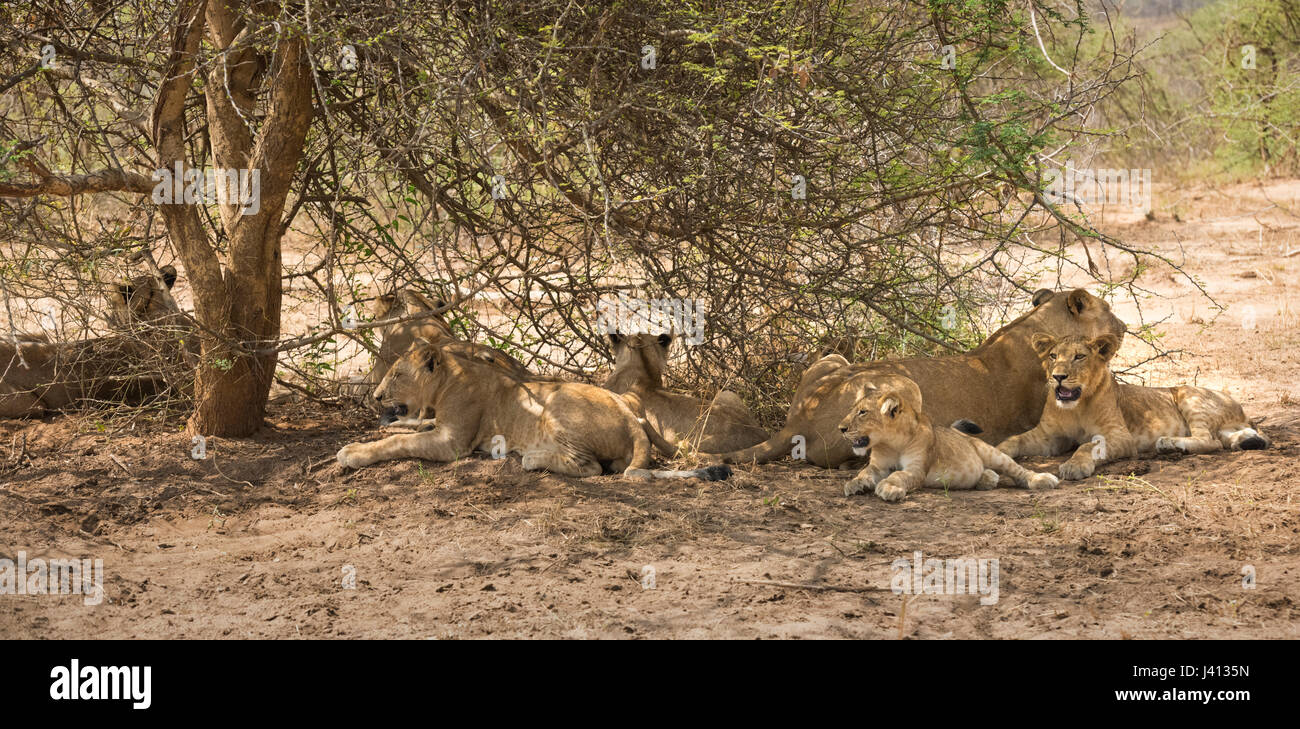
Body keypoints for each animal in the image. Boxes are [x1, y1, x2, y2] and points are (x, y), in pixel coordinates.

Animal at [337, 339, 733, 481]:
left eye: (397, 374)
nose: (376, 396)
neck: (451, 376)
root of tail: (632, 418)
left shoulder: (452, 443)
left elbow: (398, 443)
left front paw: (352, 452)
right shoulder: (437, 423)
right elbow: (408, 428)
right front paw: (386, 428)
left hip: (556, 404)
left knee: (590, 467)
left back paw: (532, 458)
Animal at [838, 375, 1059, 501]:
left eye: (863, 412)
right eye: (853, 409)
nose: (840, 428)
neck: (891, 443)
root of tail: (957, 431)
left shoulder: (916, 469)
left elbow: (898, 475)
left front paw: (889, 488)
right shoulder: (877, 466)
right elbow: (863, 473)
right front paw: (854, 484)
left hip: (991, 452)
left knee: (1018, 470)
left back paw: (1042, 478)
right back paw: (987, 479)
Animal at [997, 334, 1269, 481]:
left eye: (1079, 356)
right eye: (1053, 356)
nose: (1058, 376)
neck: (1075, 406)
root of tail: (1240, 408)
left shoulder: (1120, 436)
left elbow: (1087, 446)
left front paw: (1074, 466)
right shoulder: (1048, 436)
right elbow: (1013, 440)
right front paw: (995, 454)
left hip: (1187, 393)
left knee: (1208, 440)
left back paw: (1168, 444)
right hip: (1225, 426)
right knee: (1226, 439)